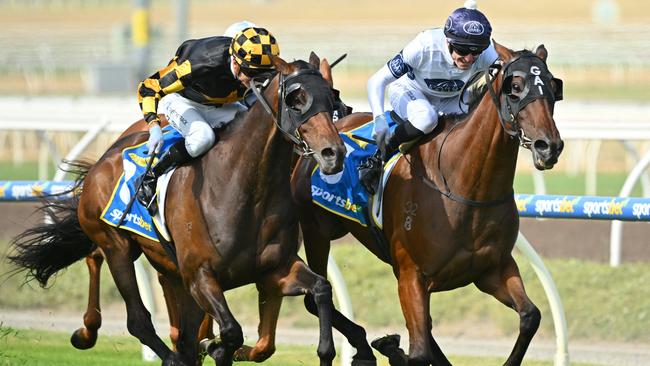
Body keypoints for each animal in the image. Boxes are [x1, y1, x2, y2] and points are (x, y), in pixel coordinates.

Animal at [10, 54, 362, 366]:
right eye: (296, 98)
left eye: (332, 98)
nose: (333, 153)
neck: (246, 191)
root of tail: (102, 161)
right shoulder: (200, 276)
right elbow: (229, 332)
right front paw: (217, 348)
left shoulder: (275, 270)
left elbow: (321, 289)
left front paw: (328, 351)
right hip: (117, 246)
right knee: (137, 317)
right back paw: (108, 338)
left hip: (164, 264)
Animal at [292, 43, 564, 366]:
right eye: (516, 87)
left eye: (553, 86)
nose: (549, 146)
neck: (465, 187)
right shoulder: (412, 275)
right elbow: (420, 351)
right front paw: (392, 349)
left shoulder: (493, 269)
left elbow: (530, 316)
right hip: (316, 231)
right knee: (313, 298)